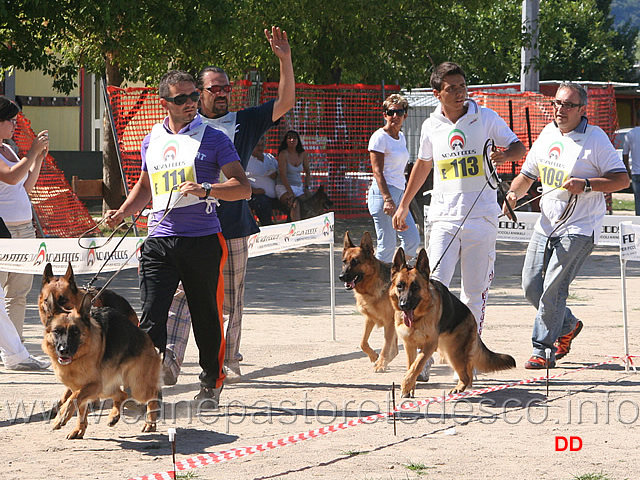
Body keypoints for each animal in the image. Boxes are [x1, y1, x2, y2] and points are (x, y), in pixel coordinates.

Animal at [40, 292, 161, 438]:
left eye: (75, 332)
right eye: (57, 331)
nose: (64, 350)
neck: (80, 356)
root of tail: (145, 336)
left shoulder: (93, 385)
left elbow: (73, 399)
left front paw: (62, 415)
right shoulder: (80, 388)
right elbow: (80, 407)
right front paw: (79, 429)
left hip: (136, 388)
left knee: (152, 395)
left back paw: (150, 423)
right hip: (107, 389)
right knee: (122, 395)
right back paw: (114, 416)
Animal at [338, 232, 398, 372]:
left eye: (355, 262)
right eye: (344, 262)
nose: (341, 277)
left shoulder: (389, 322)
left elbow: (385, 346)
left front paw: (381, 364)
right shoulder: (369, 319)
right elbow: (363, 343)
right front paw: (373, 356)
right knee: (396, 350)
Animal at [388, 249, 516, 396]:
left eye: (415, 287)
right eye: (400, 286)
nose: (404, 305)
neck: (417, 318)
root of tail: (472, 317)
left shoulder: (429, 345)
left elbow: (417, 364)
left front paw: (406, 384)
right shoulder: (409, 344)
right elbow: (411, 366)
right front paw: (409, 387)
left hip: (453, 352)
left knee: (465, 375)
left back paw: (459, 388)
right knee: (468, 370)